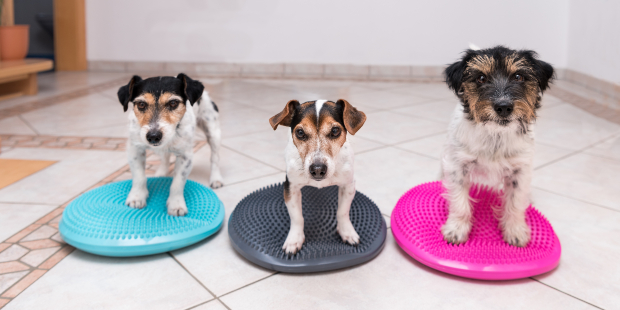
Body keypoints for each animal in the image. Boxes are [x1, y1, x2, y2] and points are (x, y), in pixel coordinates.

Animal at [116, 74, 223, 217]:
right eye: (141, 104)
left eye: (173, 103)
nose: (153, 136)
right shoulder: (135, 150)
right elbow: (139, 177)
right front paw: (137, 197)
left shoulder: (185, 157)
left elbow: (177, 183)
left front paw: (176, 204)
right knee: (165, 157)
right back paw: (162, 172)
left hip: (213, 131)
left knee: (215, 157)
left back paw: (216, 178)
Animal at [268, 99, 366, 254]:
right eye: (300, 132)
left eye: (335, 131)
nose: (318, 169)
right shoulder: (291, 188)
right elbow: (297, 217)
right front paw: (294, 239)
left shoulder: (348, 186)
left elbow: (343, 212)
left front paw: (347, 232)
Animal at [438, 46, 556, 246]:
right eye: (481, 78)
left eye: (518, 76)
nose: (503, 107)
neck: (495, 136)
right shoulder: (457, 166)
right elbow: (459, 200)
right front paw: (456, 229)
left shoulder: (520, 171)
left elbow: (515, 202)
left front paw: (515, 231)